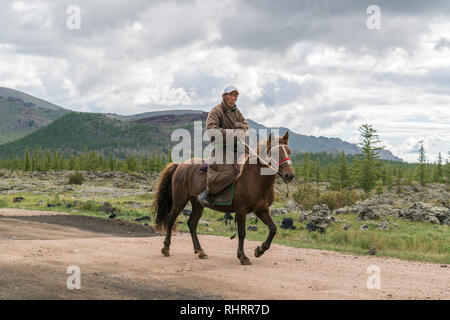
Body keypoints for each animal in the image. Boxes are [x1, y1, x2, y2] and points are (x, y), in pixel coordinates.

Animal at [153, 132, 298, 264]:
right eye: (274, 153)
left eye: (289, 152)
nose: (289, 175)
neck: (256, 178)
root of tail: (180, 165)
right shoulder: (241, 211)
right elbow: (242, 233)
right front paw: (243, 256)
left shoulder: (261, 210)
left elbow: (273, 229)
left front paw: (259, 250)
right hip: (180, 200)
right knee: (171, 219)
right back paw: (166, 248)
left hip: (197, 204)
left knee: (192, 223)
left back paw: (200, 251)